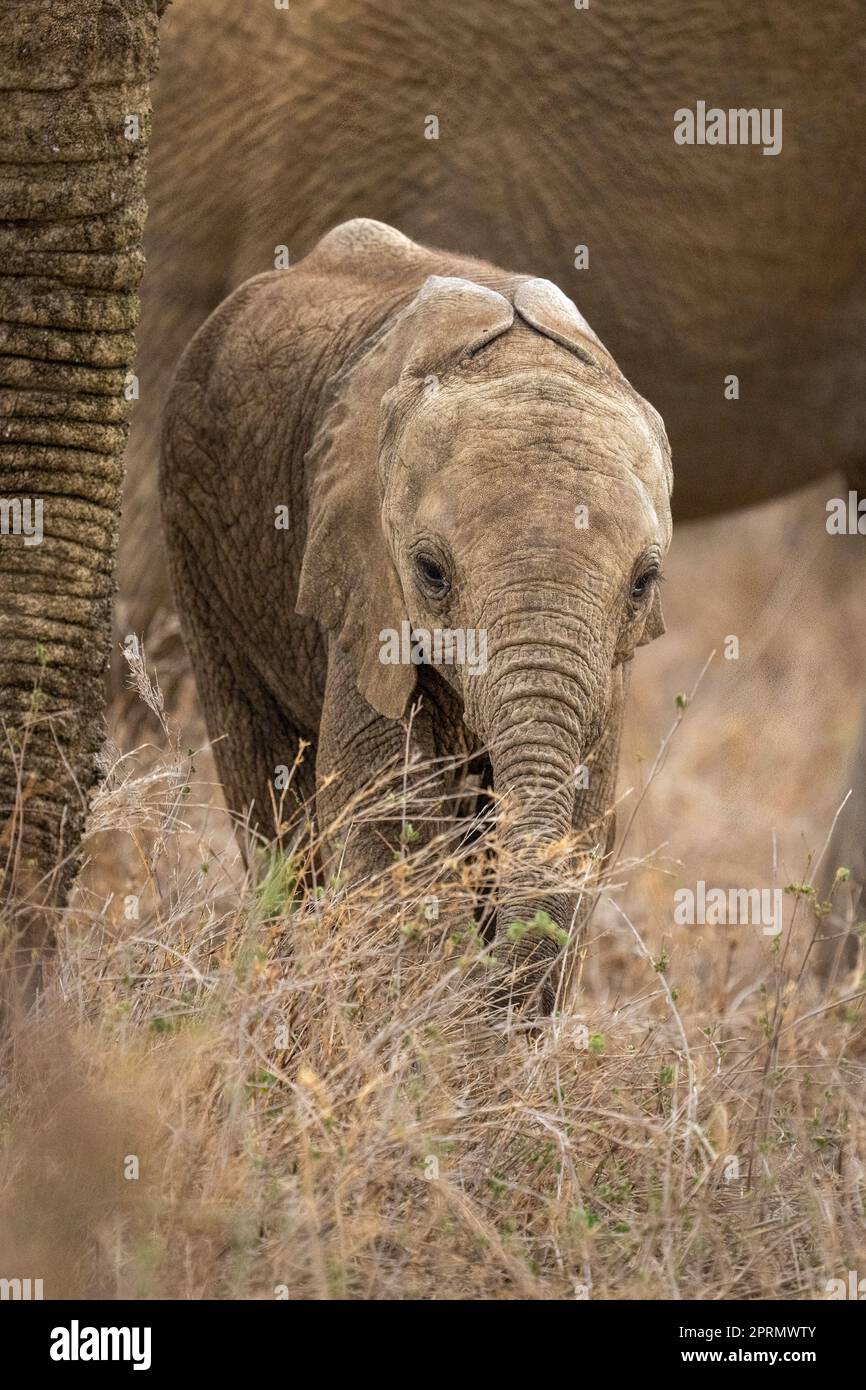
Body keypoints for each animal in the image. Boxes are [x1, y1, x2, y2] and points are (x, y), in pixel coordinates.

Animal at [160, 218, 673, 1010]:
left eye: (644, 583)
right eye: (431, 573)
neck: (517, 361)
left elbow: (586, 817)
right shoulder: (361, 572)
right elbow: (384, 808)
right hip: (196, 539)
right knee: (267, 798)